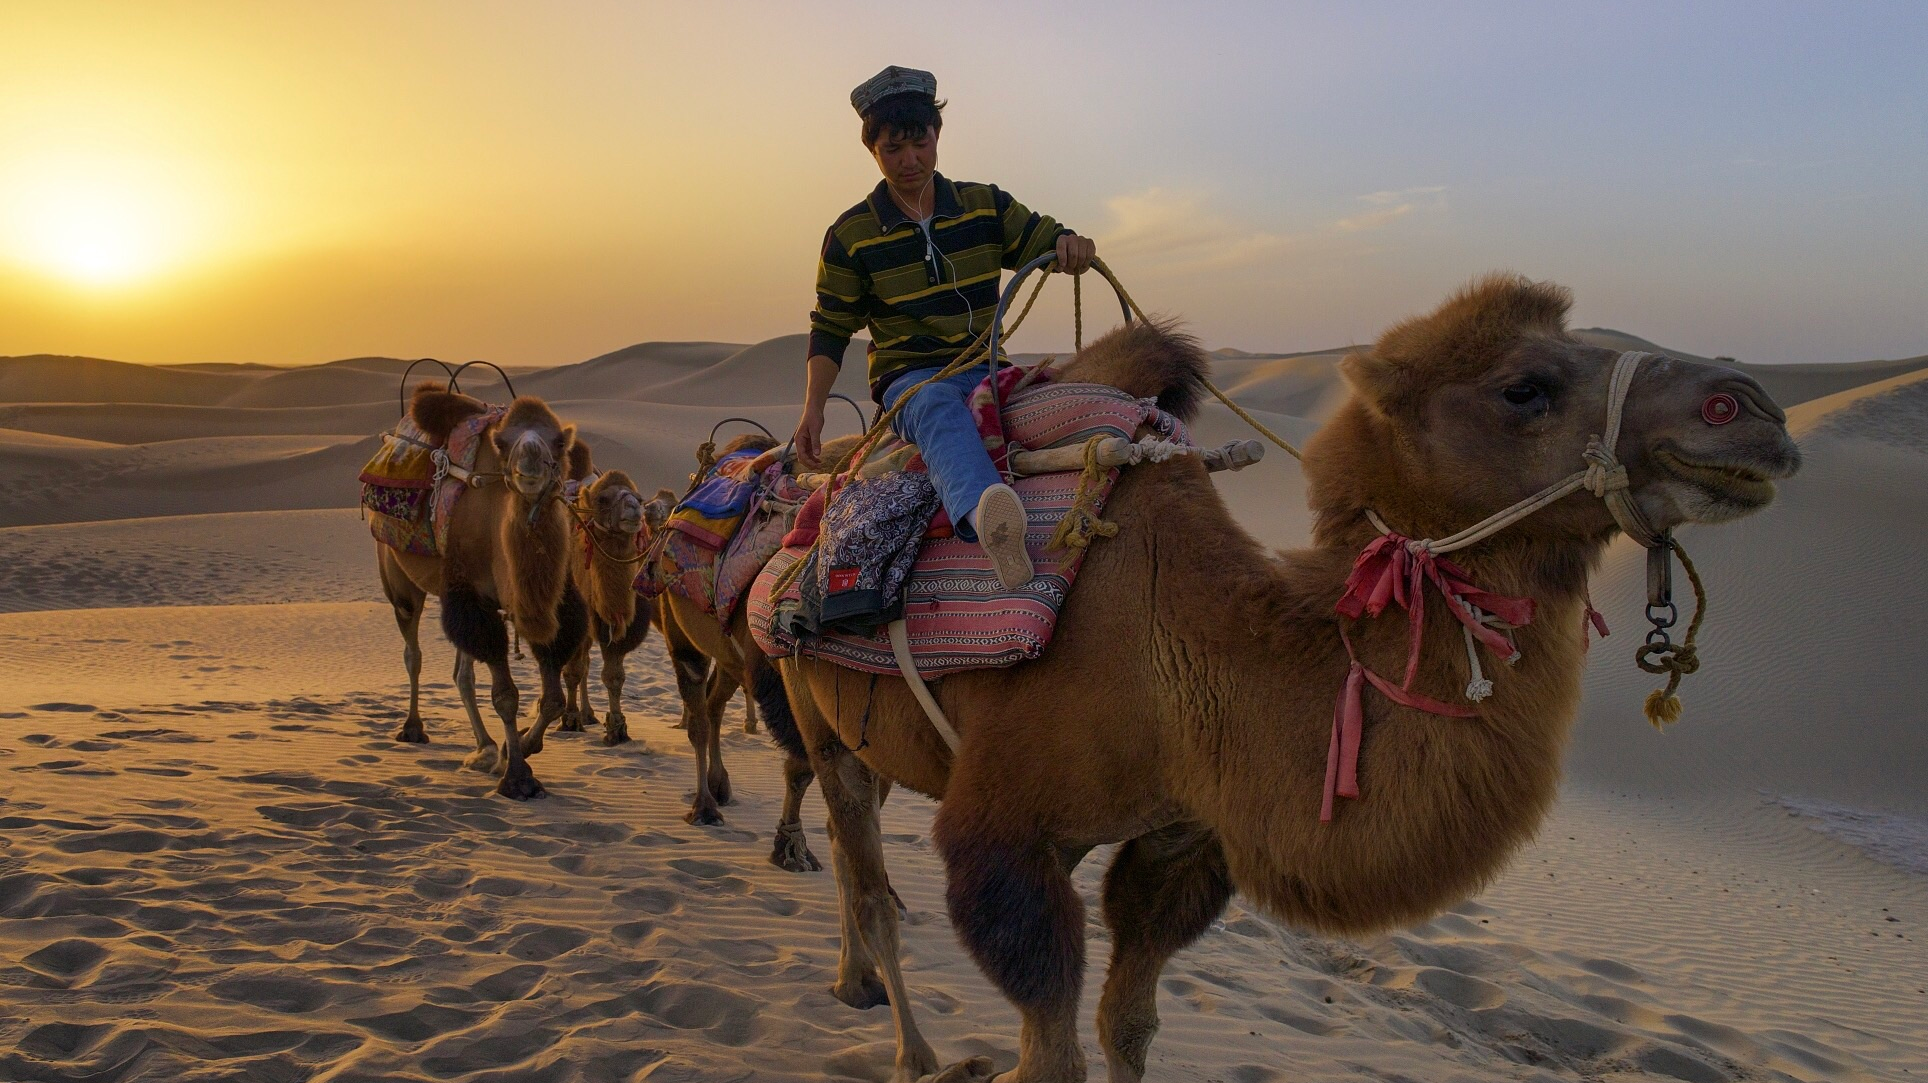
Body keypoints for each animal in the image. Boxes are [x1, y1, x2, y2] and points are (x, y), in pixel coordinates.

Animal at [374, 383, 586, 797]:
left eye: (558, 442)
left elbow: (551, 698)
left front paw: (515, 748)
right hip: (399, 576)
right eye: (502, 443)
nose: (530, 459)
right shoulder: (473, 595)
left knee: (462, 673)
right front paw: (518, 777)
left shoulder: (553, 603)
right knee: (413, 651)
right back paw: (413, 728)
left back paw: (485, 746)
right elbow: (505, 697)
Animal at [559, 439, 678, 739]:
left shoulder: (621, 623)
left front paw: (617, 727)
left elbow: (614, 675)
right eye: (603, 499)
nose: (635, 509)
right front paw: (570, 718)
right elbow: (573, 669)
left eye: (638, 496)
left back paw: (589, 714)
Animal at [775, 273, 1796, 1071]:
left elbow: (1128, 1024)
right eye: (1524, 387)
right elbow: (1050, 1043)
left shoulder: (1179, 842)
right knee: (865, 877)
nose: (1750, 408)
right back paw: (908, 1045)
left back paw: (856, 984)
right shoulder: (1008, 836)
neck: (1179, 664)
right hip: (816, 709)